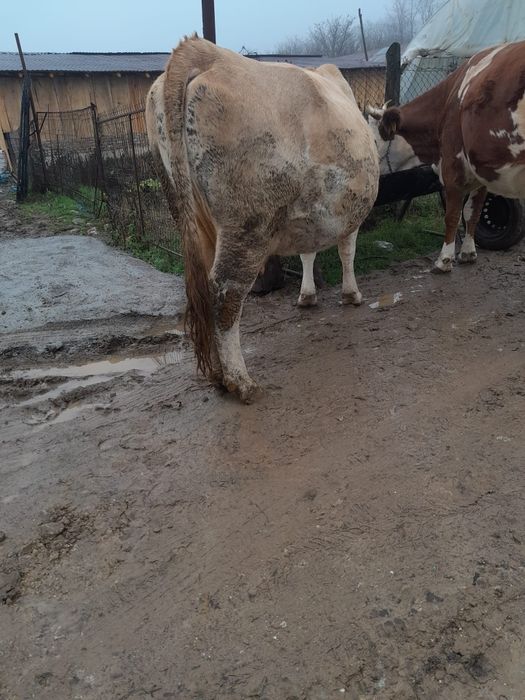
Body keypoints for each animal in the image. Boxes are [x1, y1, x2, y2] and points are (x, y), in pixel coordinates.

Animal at [146, 36, 379, 402]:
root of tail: (207, 52)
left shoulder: (308, 214)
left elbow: (308, 252)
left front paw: (307, 296)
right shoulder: (348, 217)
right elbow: (347, 252)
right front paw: (351, 295)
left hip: (193, 216)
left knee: (203, 292)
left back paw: (217, 374)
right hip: (248, 223)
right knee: (225, 292)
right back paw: (240, 381)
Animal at [367, 41, 525, 272]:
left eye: (374, 141)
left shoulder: (453, 168)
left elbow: (452, 215)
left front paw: (444, 260)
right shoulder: (480, 175)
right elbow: (472, 212)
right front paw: (468, 253)